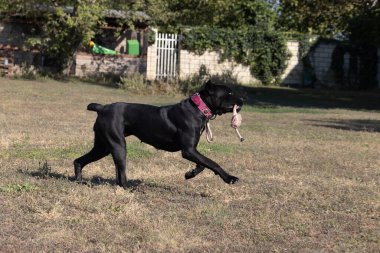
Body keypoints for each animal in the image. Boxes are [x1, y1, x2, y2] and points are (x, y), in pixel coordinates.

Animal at [74, 81, 243, 188]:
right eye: (229, 92)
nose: (242, 99)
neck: (198, 108)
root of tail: (102, 108)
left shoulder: (192, 150)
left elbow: (203, 164)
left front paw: (190, 174)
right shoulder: (188, 151)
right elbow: (212, 163)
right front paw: (229, 178)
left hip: (102, 147)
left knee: (79, 161)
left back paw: (79, 181)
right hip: (118, 146)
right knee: (121, 172)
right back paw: (129, 187)